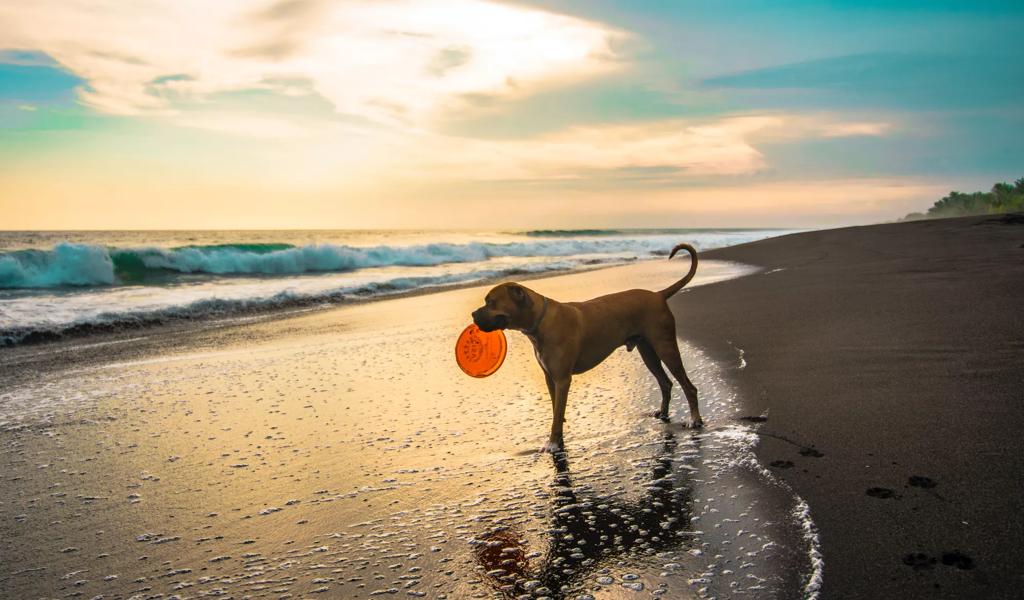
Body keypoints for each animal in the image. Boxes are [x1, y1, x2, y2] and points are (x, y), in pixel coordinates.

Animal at [473, 240, 704, 450]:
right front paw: (558, 436)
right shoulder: (550, 379)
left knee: (689, 387)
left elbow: (557, 414)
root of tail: (658, 294)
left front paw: (553, 443)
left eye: (490, 302)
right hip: (647, 351)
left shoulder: (562, 380)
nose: (473, 314)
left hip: (665, 347)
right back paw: (663, 412)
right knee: (665, 382)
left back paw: (694, 420)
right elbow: (556, 410)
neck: (540, 320)